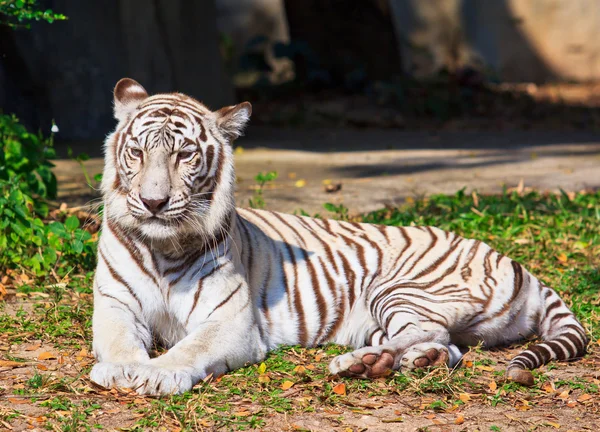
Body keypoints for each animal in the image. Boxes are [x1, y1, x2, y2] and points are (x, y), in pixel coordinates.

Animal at [89, 77, 584, 394]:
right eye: (137, 152)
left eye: (184, 155)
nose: (153, 202)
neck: (163, 247)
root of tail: (517, 264)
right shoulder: (115, 304)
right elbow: (118, 341)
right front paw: (121, 369)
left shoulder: (230, 320)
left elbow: (192, 346)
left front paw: (157, 374)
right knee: (448, 344)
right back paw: (398, 362)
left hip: (401, 289)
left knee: (431, 328)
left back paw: (358, 363)